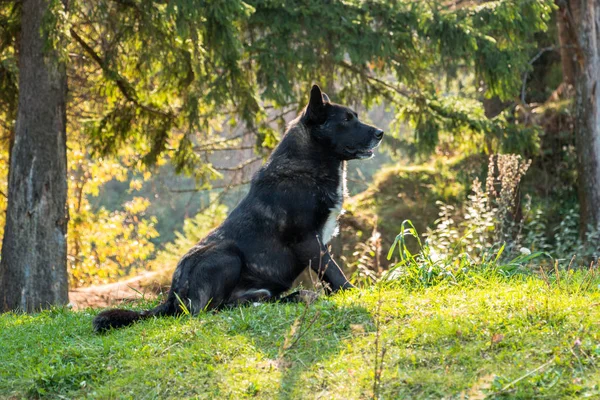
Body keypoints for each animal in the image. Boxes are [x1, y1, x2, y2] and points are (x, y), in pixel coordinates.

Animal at [94, 84, 384, 332]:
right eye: (346, 120)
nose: (380, 133)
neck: (308, 164)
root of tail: (172, 298)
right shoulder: (309, 241)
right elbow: (334, 271)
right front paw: (352, 291)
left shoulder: (320, 242)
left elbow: (328, 275)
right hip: (227, 256)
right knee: (214, 309)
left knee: (246, 302)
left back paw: (291, 297)